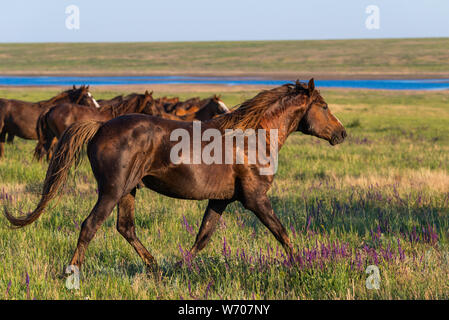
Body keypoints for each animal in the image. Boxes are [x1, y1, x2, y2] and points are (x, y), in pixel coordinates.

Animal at [3, 79, 346, 276]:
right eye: (324, 106)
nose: (341, 134)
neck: (253, 138)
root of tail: (100, 127)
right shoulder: (254, 199)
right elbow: (282, 233)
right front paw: (302, 265)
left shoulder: (221, 200)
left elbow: (203, 237)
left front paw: (179, 268)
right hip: (111, 191)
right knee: (90, 226)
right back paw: (71, 273)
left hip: (129, 191)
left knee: (125, 227)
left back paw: (154, 266)